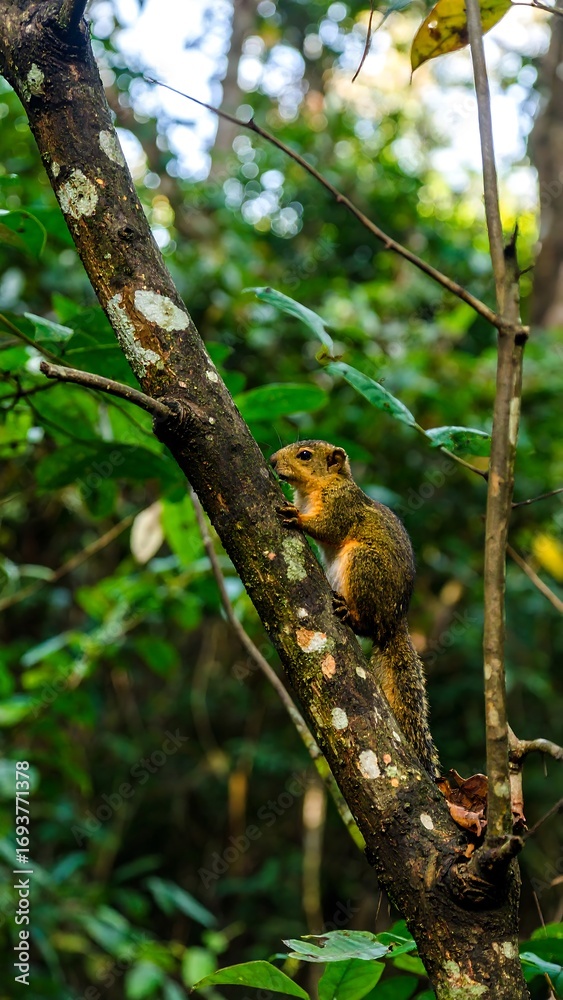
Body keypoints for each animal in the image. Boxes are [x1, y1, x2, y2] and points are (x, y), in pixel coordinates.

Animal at [270, 439, 441, 780]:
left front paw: (297, 518)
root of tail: (394, 622)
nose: (271, 461)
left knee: (366, 624)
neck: (320, 486)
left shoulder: (342, 505)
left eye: (305, 455)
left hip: (363, 564)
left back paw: (350, 613)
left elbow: (329, 527)